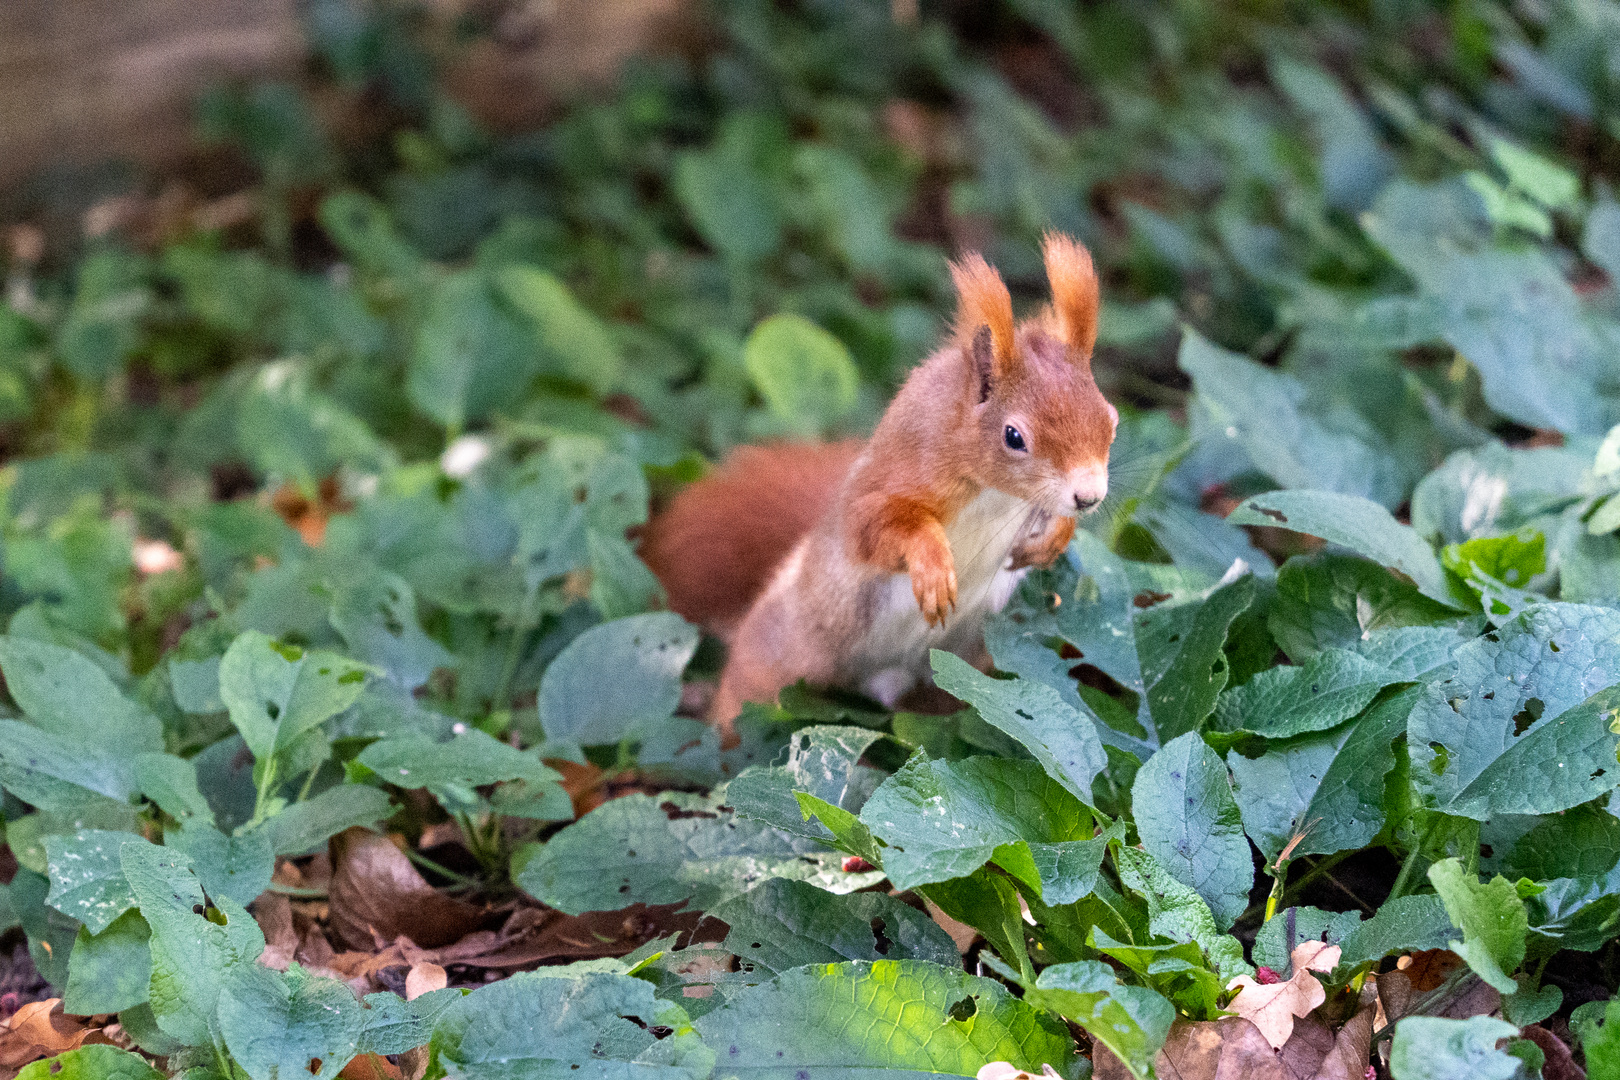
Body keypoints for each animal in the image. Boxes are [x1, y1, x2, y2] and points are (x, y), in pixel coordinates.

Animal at [638, 236, 1121, 725]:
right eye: (1014, 436)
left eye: (1112, 419)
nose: (1089, 496)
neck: (995, 493)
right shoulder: (890, 480)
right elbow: (878, 526)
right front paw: (933, 569)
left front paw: (1053, 540)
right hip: (775, 661)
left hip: (964, 669)